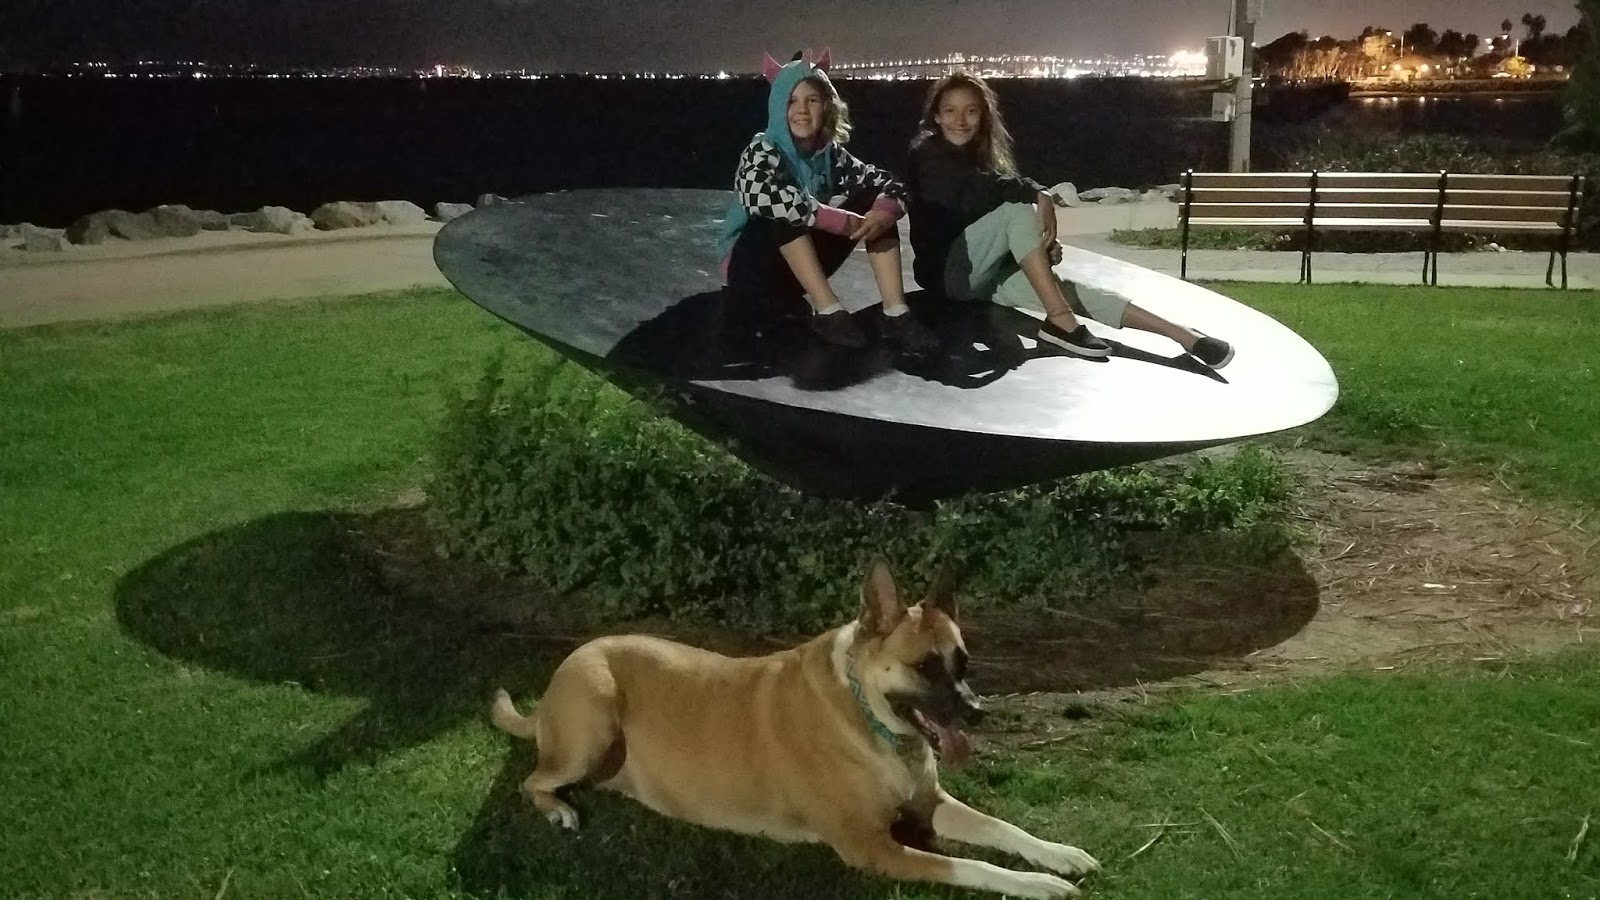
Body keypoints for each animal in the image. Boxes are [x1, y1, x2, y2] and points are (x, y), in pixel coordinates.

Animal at [491, 558, 1099, 898]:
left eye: (963, 662)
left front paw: (1058, 855)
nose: (977, 713)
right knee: (532, 780)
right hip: (592, 720)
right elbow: (971, 865)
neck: (869, 721)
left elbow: (1003, 829)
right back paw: (558, 809)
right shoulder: (871, 848)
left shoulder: (929, 803)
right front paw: (1038, 885)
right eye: (925, 667)